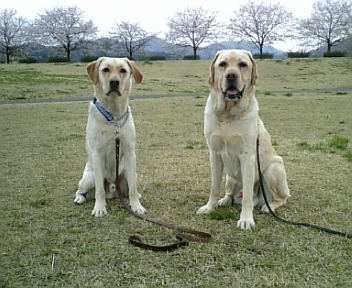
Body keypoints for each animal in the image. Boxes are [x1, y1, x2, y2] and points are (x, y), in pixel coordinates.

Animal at [74, 57, 146, 217]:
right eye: (105, 69)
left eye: (123, 70)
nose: (114, 82)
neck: (114, 117)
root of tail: (112, 190)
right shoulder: (97, 153)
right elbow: (99, 189)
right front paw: (99, 208)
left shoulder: (130, 153)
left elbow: (133, 188)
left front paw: (136, 206)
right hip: (89, 177)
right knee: (82, 190)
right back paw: (80, 198)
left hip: (129, 173)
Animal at [197, 49, 290, 230]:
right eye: (223, 64)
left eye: (243, 64)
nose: (231, 75)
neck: (228, 115)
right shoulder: (214, 154)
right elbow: (214, 187)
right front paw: (210, 207)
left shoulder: (247, 156)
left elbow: (247, 194)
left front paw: (246, 219)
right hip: (230, 177)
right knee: (230, 192)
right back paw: (225, 200)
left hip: (273, 168)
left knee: (281, 198)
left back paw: (269, 206)